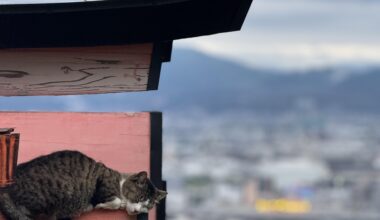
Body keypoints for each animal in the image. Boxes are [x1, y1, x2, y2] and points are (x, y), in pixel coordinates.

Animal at [0, 150, 168, 219]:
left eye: (148, 206)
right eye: (139, 198)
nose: (139, 210)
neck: (120, 181)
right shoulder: (103, 182)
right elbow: (113, 201)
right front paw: (105, 204)